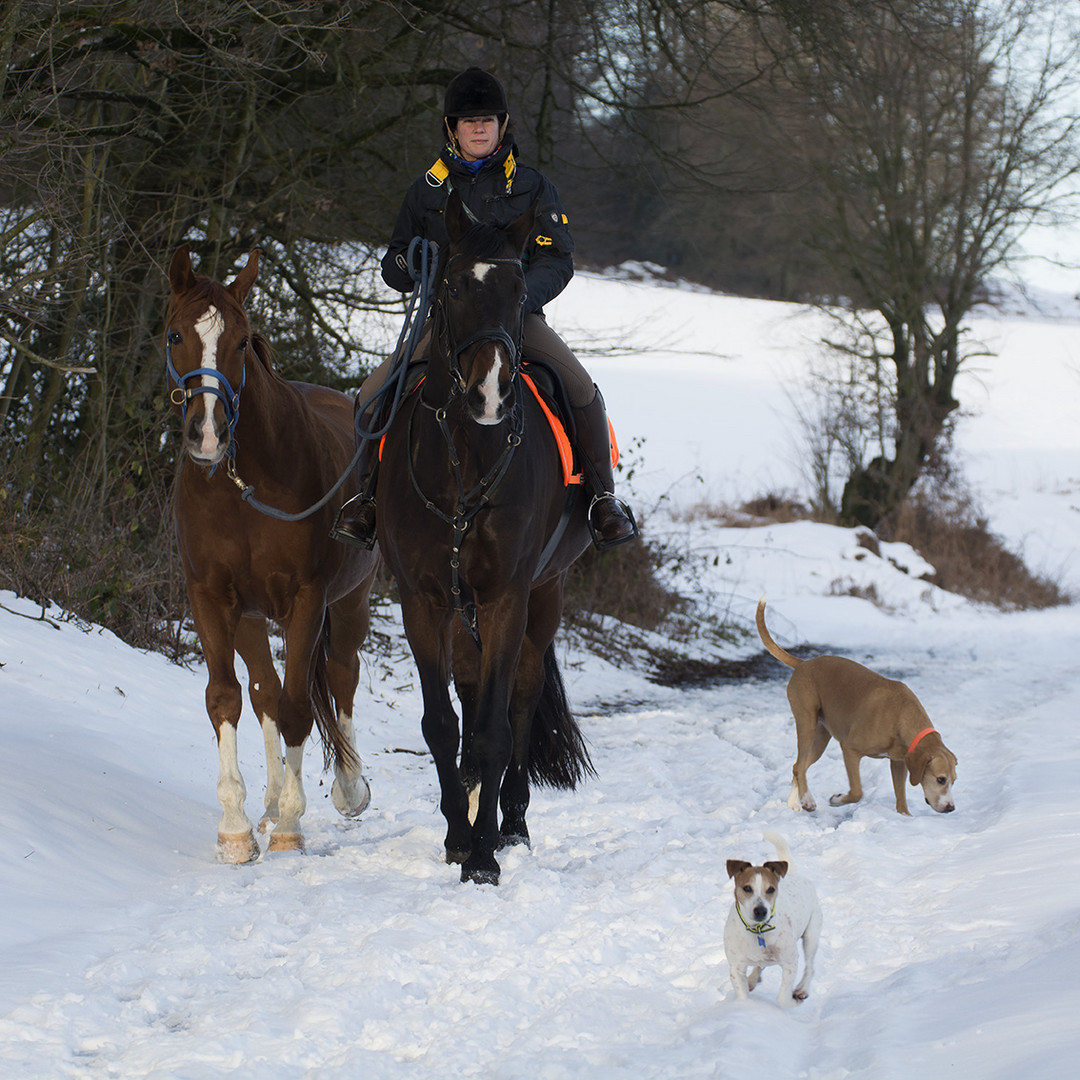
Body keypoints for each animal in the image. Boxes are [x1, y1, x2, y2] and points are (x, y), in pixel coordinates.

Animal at [162, 245, 378, 859]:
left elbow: (300, 706)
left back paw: (346, 789)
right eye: (175, 335)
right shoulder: (212, 598)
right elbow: (228, 698)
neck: (241, 487)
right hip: (253, 618)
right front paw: (236, 827)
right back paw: (267, 803)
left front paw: (290, 825)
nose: (207, 434)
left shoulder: (307, 599)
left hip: (350, 603)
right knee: (263, 691)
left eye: (241, 340)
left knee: (340, 674)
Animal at [378, 192, 600, 885]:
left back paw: (513, 825)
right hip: (464, 610)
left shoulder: (506, 596)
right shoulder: (422, 600)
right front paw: (457, 835)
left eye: (519, 287)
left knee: (521, 703)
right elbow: (442, 724)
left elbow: (497, 728)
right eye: (448, 284)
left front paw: (482, 856)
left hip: (545, 596)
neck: (465, 461)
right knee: (475, 697)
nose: (489, 394)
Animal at [721, 833, 820, 1002]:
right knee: (760, 965)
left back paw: (802, 989)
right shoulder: (736, 968)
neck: (757, 931)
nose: (761, 911)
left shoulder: (790, 963)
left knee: (810, 967)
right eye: (747, 888)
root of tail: (794, 874)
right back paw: (752, 979)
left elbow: (783, 997)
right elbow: (743, 994)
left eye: (771, 889)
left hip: (811, 934)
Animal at [756, 596, 959, 812]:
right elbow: (857, 792)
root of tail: (803, 664)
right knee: (801, 765)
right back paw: (808, 800)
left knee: (797, 767)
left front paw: (904, 816)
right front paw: (837, 799)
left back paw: (795, 803)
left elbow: (901, 799)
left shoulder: (898, 763)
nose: (951, 808)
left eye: (954, 781)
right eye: (940, 779)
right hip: (806, 724)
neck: (901, 717)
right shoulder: (850, 749)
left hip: (820, 738)